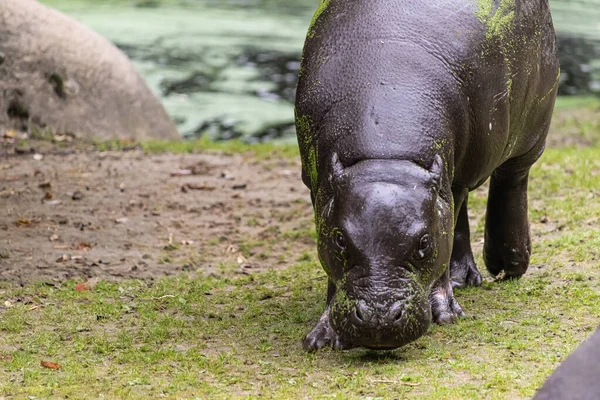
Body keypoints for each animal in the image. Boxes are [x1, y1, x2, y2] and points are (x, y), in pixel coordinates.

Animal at [292, 0, 560, 350]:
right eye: (339, 239)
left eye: (423, 243)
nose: (378, 319)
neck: (386, 152)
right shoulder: (321, 190)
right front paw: (322, 337)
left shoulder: (456, 179)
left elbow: (445, 242)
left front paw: (447, 316)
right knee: (459, 213)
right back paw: (465, 280)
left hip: (528, 136)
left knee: (509, 183)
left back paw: (505, 266)